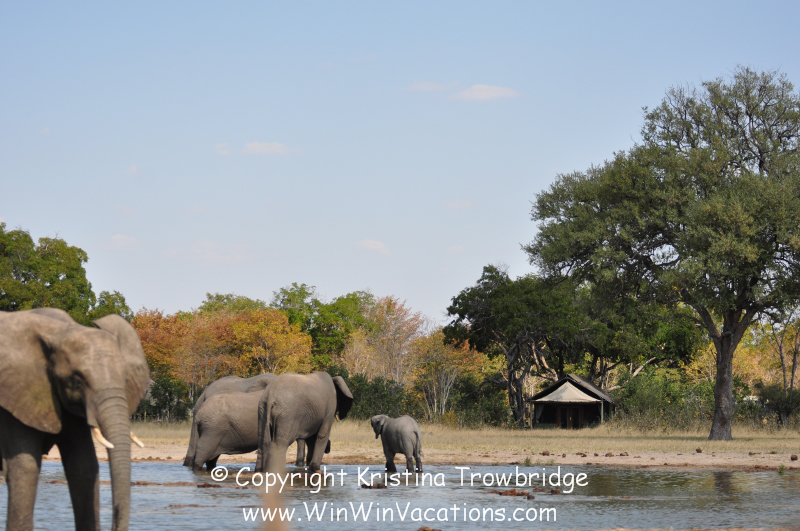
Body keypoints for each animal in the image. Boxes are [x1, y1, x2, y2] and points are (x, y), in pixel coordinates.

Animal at [0, 308, 149, 531]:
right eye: (77, 382)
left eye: (125, 380)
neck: (60, 330)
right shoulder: (15, 396)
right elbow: (25, 468)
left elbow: (83, 466)